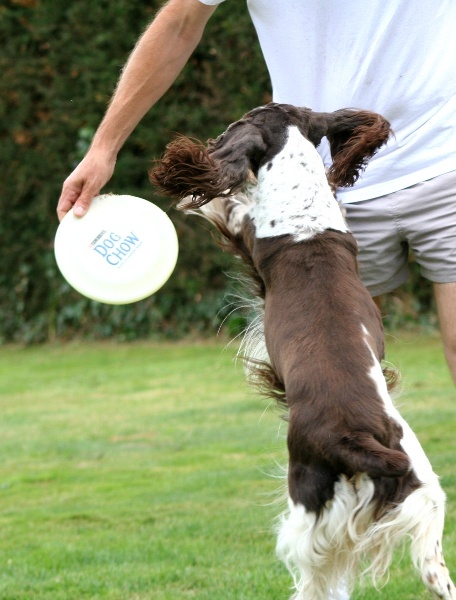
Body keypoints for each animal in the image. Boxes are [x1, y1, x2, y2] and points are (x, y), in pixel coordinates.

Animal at [151, 104, 456, 600]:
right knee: (436, 571)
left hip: (305, 507)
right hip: (425, 492)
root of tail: (356, 439)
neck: (304, 212)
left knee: (315, 576)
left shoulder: (242, 230)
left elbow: (221, 203)